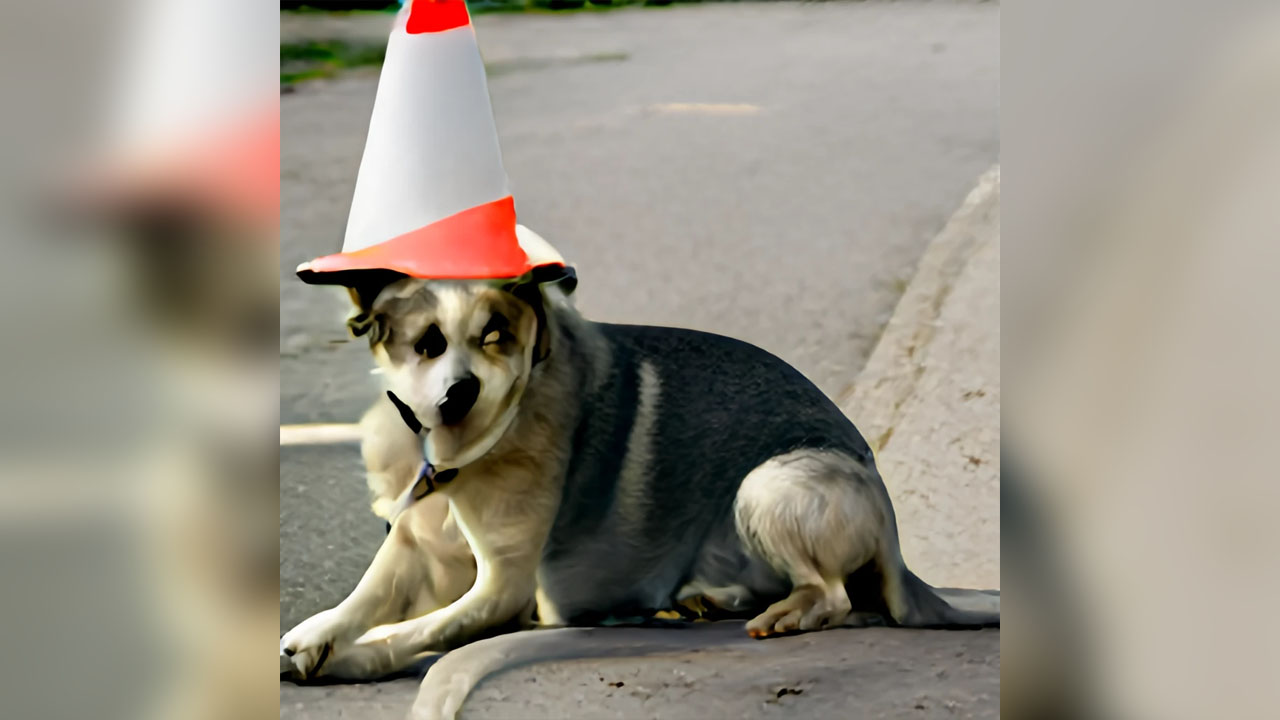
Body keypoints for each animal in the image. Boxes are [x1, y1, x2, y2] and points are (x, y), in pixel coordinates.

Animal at [280, 254, 998, 681]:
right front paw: (316, 635)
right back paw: (711, 598)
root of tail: (895, 539)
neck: (467, 456)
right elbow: (364, 597)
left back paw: (786, 612)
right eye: (425, 344)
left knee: (836, 596)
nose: (460, 395)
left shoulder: (502, 586)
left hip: (768, 483)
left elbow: (413, 628)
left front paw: (354, 656)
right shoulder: (414, 549)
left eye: (495, 338)